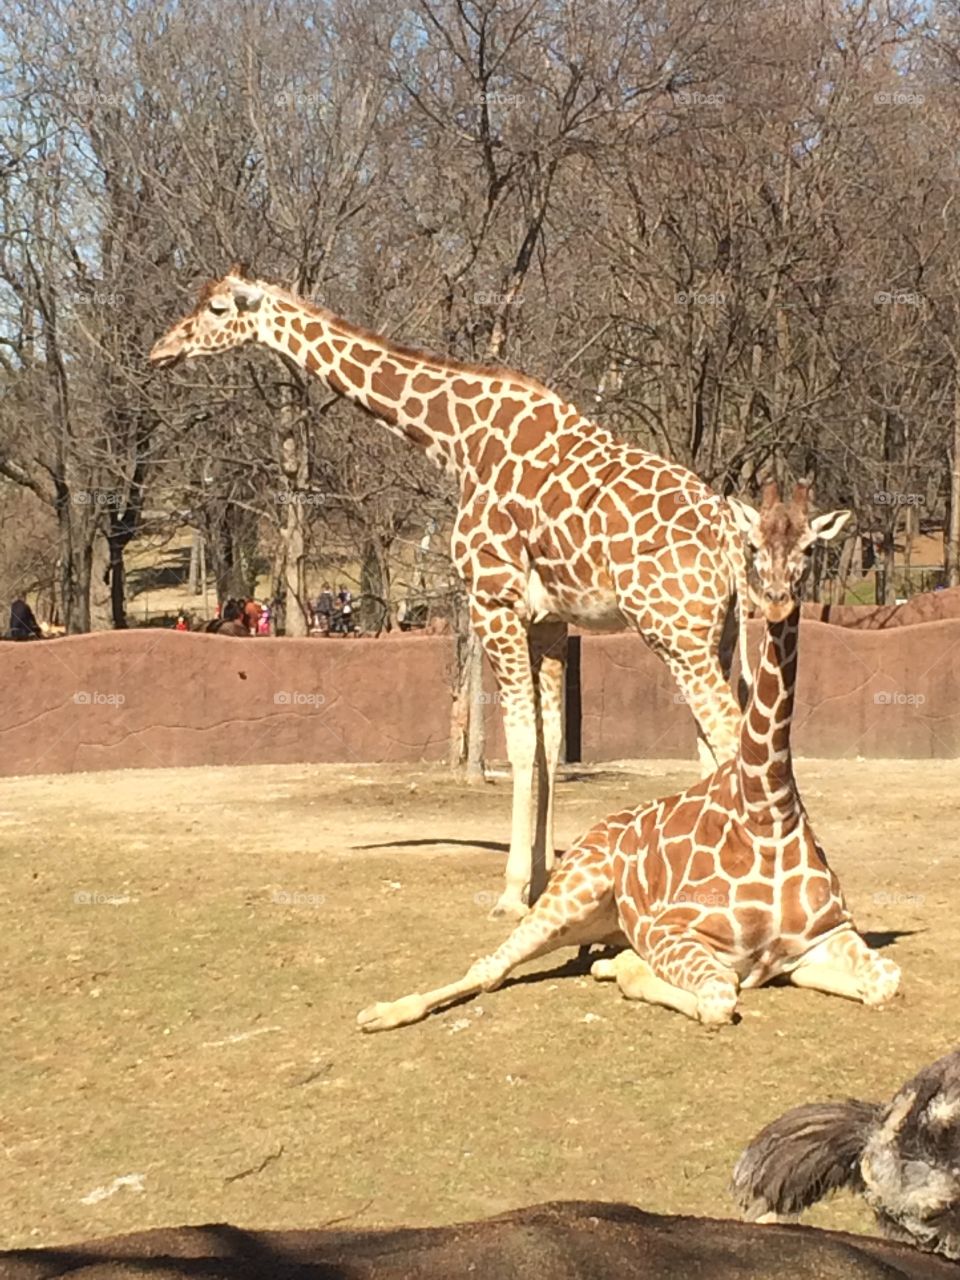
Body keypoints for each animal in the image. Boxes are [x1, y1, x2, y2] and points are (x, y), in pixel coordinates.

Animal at [149, 265, 751, 920]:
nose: (160, 350)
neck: (459, 439)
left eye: (214, 308)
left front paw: (511, 893)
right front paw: (543, 879)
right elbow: (549, 743)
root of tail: (731, 536)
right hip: (715, 634)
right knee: (712, 742)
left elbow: (519, 743)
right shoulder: (549, 621)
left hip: (674, 630)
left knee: (729, 732)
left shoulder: (492, 599)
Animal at [355, 481, 901, 1032]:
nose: (775, 600)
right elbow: (718, 997)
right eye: (753, 545)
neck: (767, 810)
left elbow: (884, 981)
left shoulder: (830, 932)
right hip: (572, 893)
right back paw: (379, 1013)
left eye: (810, 547)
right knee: (490, 967)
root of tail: (589, 833)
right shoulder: (672, 929)